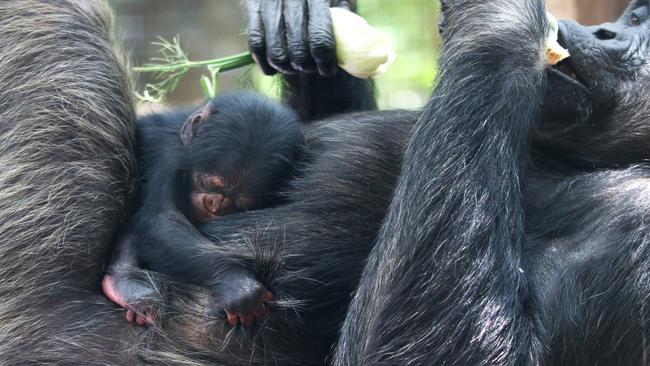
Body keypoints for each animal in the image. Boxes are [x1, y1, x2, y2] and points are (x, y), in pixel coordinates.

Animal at [101, 93, 304, 328]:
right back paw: (126, 281)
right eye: (208, 183)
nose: (215, 203)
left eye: (241, 202)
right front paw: (238, 284)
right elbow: (161, 219)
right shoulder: (167, 155)